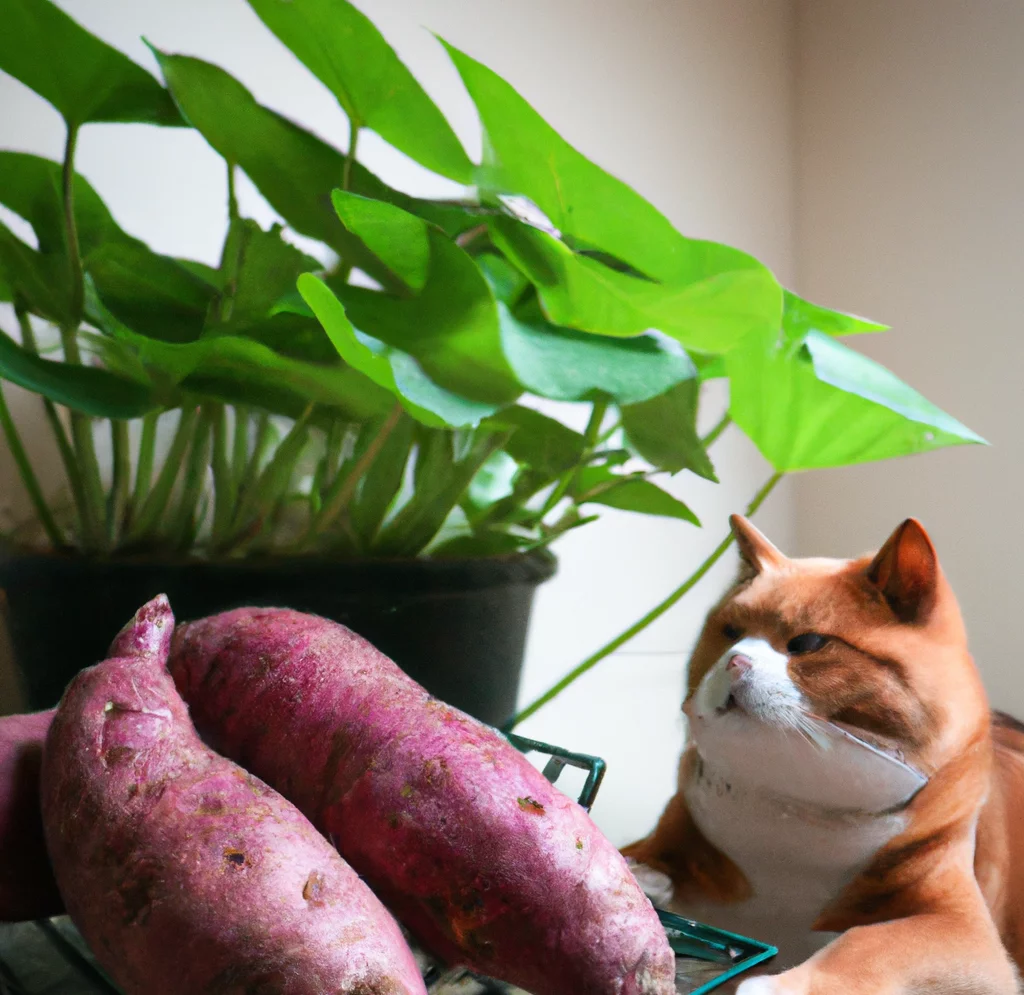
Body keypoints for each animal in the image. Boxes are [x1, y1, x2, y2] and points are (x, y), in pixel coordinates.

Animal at [622, 515, 1024, 990]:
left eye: (808, 643)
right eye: (730, 633)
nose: (735, 661)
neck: (792, 821)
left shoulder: (962, 928)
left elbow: (869, 942)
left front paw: (775, 985)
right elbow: (648, 856)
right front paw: (640, 877)